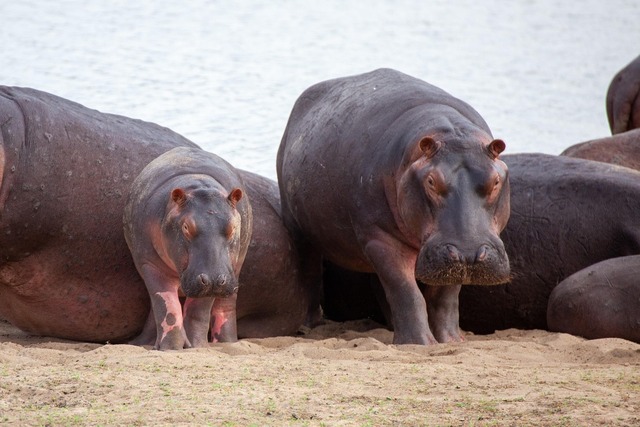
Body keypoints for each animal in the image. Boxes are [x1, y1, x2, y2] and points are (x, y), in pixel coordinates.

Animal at [129, 163, 310, 349]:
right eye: (186, 227)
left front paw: (197, 346)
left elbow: (198, 313)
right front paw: (170, 348)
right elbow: (167, 308)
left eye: (233, 226)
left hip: (234, 271)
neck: (197, 185)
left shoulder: (214, 279)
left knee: (225, 306)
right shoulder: (150, 264)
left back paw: (227, 342)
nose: (214, 279)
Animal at [277, 68, 511, 345]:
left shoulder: (452, 260)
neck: (451, 133)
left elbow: (444, 297)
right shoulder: (381, 238)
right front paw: (420, 343)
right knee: (311, 272)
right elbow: (406, 292)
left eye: (495, 180)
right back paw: (309, 325)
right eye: (431, 181)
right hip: (301, 229)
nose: (470, 253)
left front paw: (450, 340)